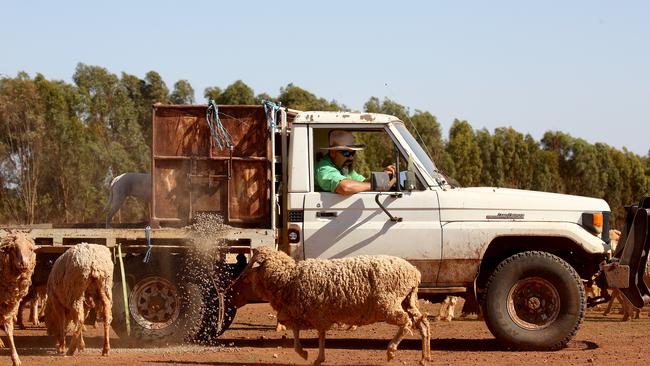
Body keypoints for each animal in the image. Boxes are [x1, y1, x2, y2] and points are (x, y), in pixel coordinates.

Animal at [0, 230, 36, 364]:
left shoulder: (8, 305)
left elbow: (9, 330)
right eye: (13, 249)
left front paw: (16, 359)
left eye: (31, 249)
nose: (24, 264)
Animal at [228, 246, 430, 366]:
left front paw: (313, 357)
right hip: (408, 300)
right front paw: (308, 354)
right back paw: (425, 357)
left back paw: (391, 351)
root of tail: (414, 272)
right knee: (423, 323)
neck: (288, 278)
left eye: (245, 277)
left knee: (407, 323)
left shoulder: (315, 313)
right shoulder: (303, 312)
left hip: (387, 305)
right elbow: (300, 334)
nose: (231, 294)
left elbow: (316, 335)